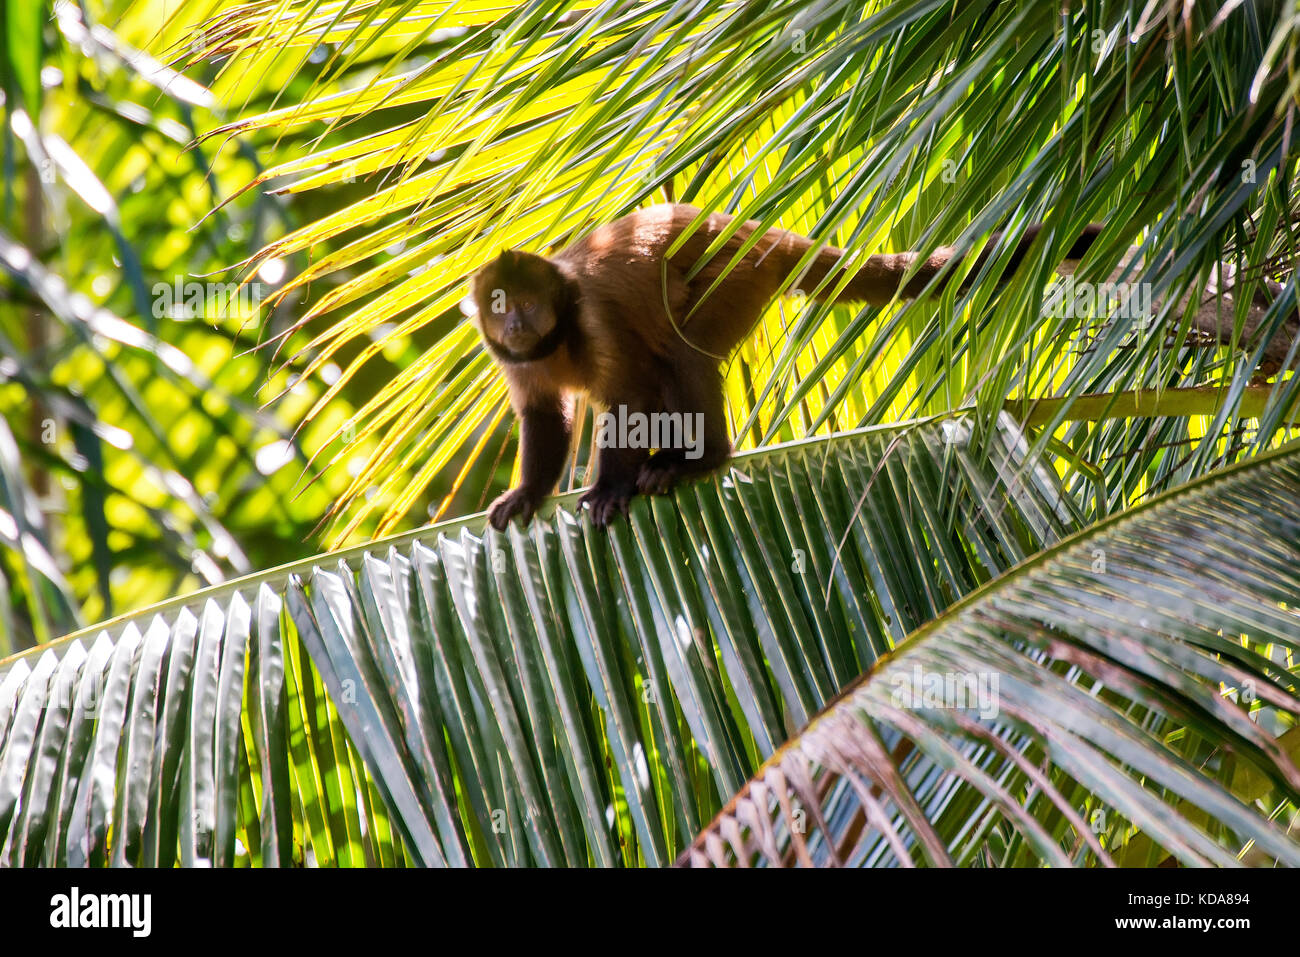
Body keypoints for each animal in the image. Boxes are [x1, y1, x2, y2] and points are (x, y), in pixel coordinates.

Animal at [467, 204, 1097, 530]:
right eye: (500, 306)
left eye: (530, 304)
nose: (517, 322)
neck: (558, 336)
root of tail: (750, 228)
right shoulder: (512, 359)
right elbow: (542, 414)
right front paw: (528, 492)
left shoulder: (595, 319)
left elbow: (630, 396)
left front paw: (610, 487)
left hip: (734, 274)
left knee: (682, 349)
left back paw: (699, 460)